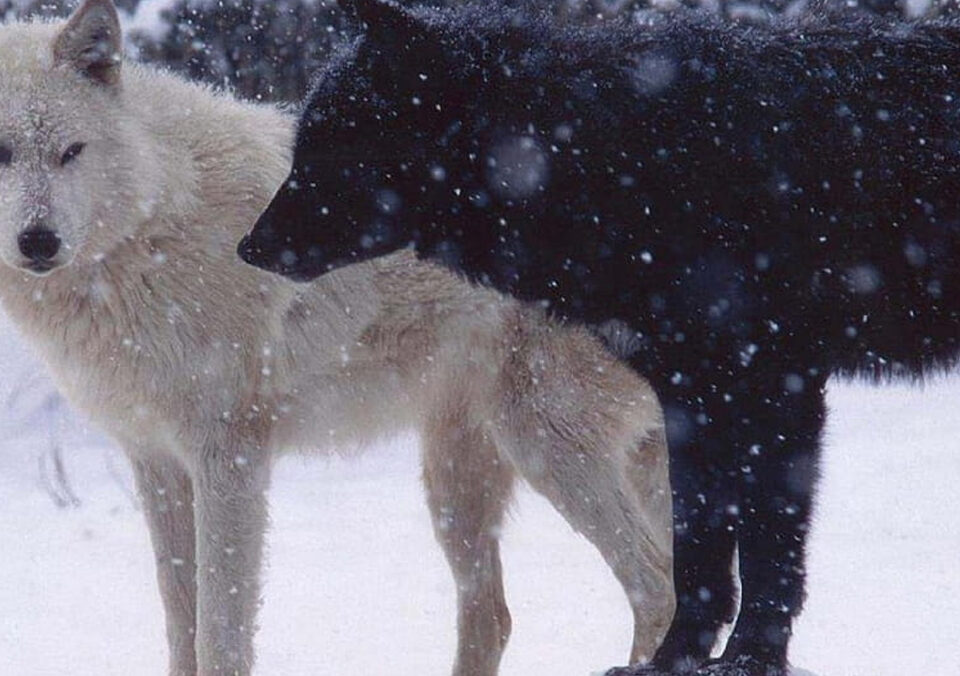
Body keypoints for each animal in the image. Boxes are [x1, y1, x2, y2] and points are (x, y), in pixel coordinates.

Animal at [0, 1, 676, 676]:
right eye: (4, 153)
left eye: (70, 152)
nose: (38, 241)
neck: (151, 226)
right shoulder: (156, 461)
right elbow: (179, 621)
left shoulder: (230, 457)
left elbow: (220, 634)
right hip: (460, 478)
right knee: (495, 615)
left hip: (544, 444)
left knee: (656, 590)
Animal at [242, 2, 960, 672]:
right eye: (303, 145)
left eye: (330, 146)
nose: (247, 249)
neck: (625, 156)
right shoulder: (691, 393)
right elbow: (698, 553)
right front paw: (671, 661)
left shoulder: (775, 382)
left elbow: (766, 547)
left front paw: (751, 658)